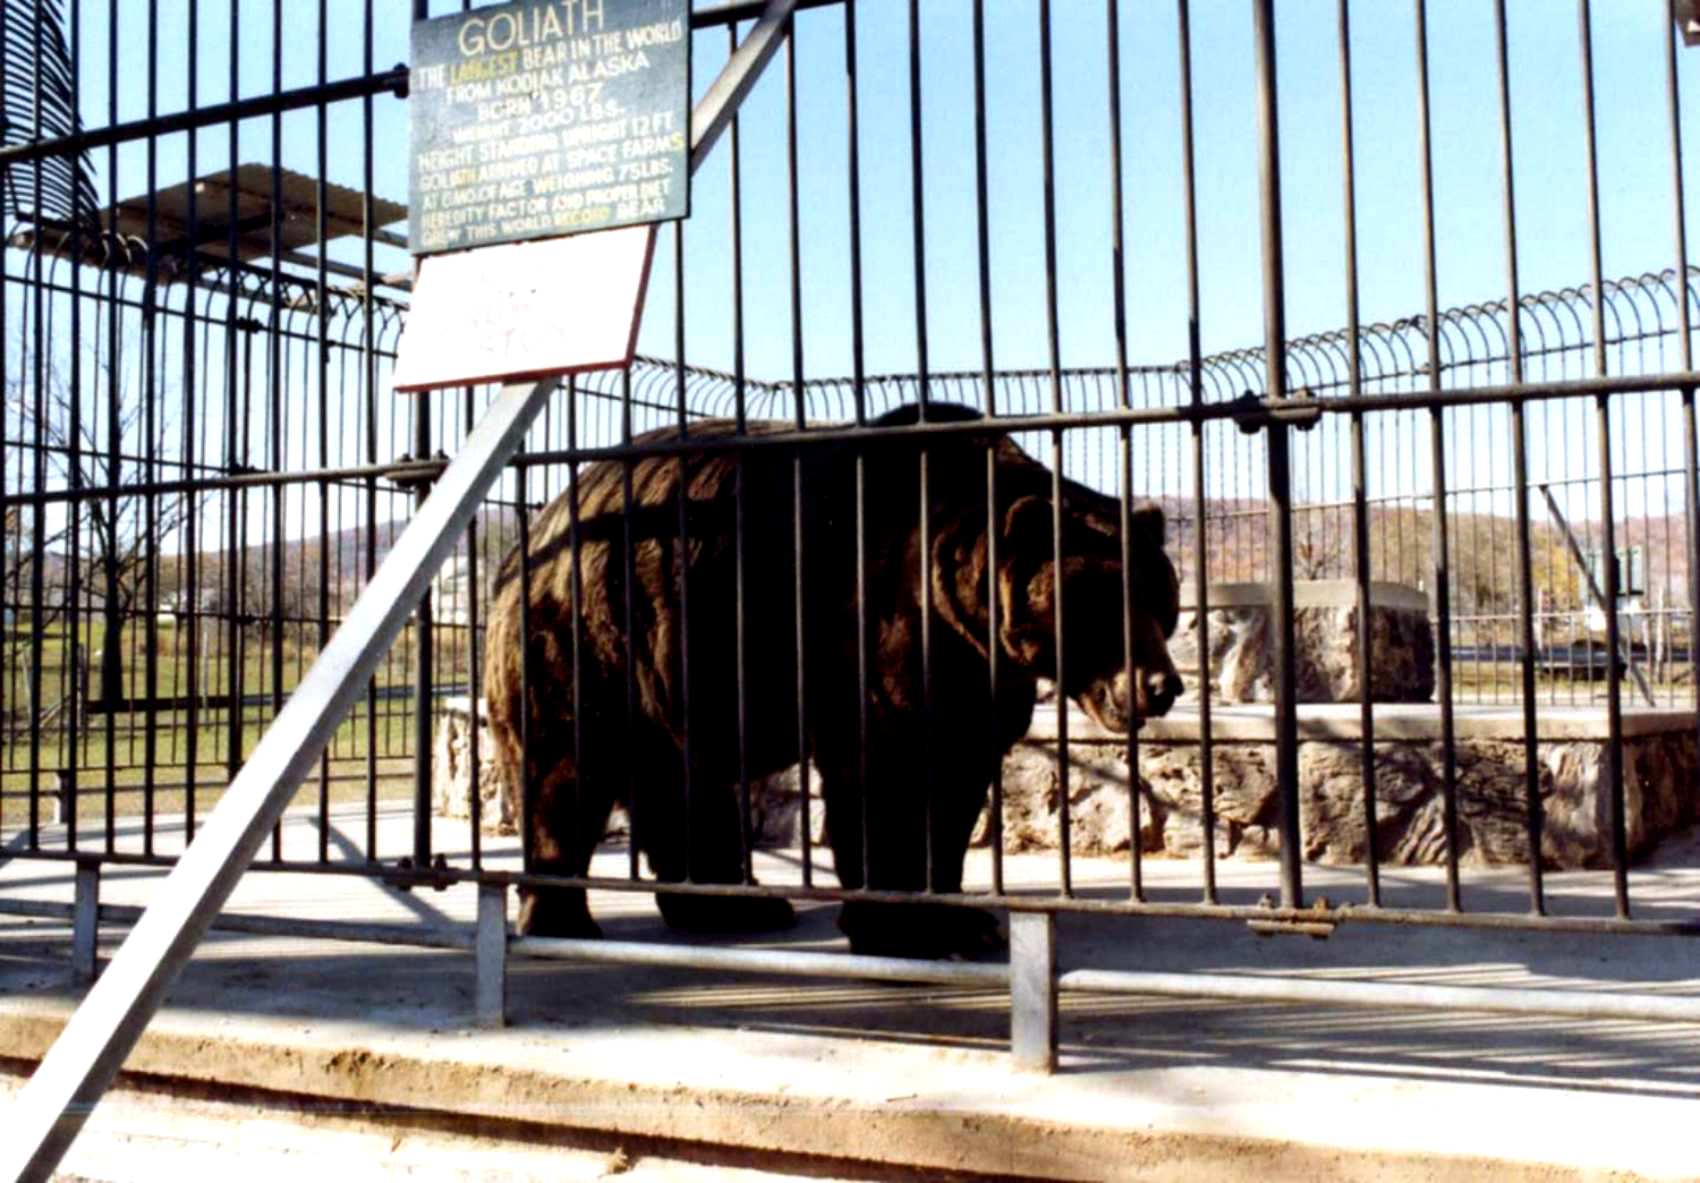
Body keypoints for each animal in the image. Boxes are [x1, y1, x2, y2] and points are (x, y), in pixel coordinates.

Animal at [482, 402, 1183, 958]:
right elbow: (886, 780)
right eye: (1103, 600)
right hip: (587, 640)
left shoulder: (975, 680)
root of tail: (535, 526)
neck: (965, 615)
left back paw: (737, 904)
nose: (1161, 684)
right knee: (564, 772)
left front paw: (963, 919)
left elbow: (956, 784)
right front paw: (910, 928)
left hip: (667, 671)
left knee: (681, 784)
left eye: (1160, 596)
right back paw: (562, 918)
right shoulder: (878, 632)